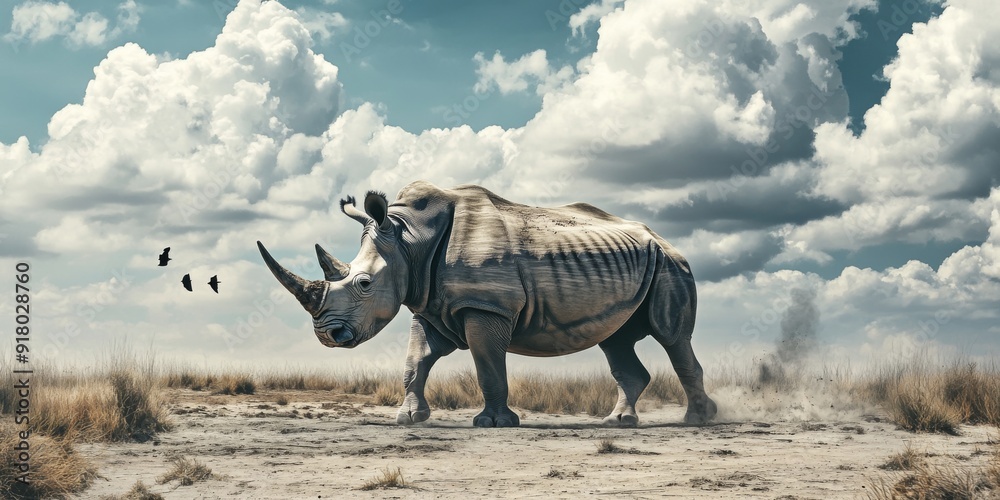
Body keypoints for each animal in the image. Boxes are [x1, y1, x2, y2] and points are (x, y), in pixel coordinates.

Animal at [257, 181, 717, 427]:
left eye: (364, 283)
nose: (327, 335)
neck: (408, 238)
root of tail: (665, 239)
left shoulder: (485, 305)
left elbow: (487, 362)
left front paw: (494, 423)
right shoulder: (429, 305)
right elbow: (415, 361)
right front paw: (409, 418)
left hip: (670, 265)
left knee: (672, 337)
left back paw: (698, 420)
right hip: (638, 267)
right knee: (616, 340)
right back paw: (618, 423)